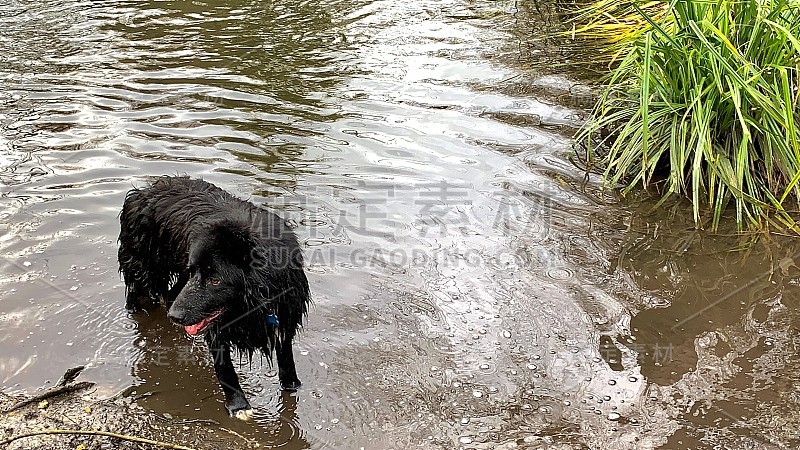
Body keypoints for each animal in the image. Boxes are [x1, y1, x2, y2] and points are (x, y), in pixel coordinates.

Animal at [117, 175, 310, 418]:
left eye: (215, 280)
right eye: (195, 271)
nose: (175, 317)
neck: (253, 303)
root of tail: (142, 191)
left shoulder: (284, 316)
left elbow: (286, 360)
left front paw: (292, 386)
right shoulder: (216, 327)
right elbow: (225, 369)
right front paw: (239, 406)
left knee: (169, 294)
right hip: (142, 266)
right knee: (135, 293)